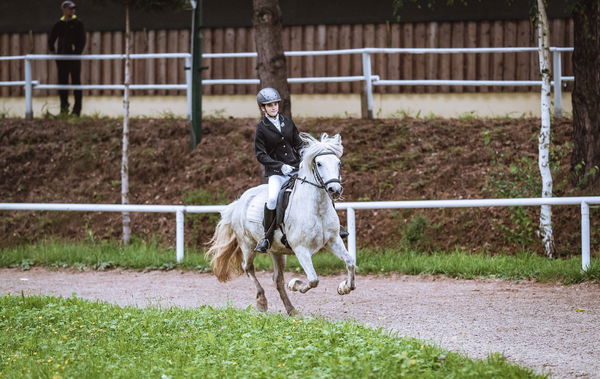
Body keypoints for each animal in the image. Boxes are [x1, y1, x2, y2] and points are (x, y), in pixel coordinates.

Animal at [206, 132, 356, 316]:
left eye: (338, 163)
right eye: (319, 163)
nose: (335, 190)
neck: (316, 208)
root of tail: (239, 202)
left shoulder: (333, 240)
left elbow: (350, 262)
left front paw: (344, 287)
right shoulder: (301, 248)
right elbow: (313, 279)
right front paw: (296, 285)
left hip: (276, 251)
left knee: (277, 279)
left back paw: (291, 309)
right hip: (248, 245)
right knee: (248, 268)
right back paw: (262, 302)